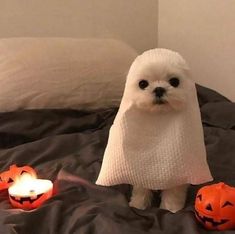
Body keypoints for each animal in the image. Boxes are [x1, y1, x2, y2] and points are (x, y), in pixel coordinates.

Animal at [97, 48, 213, 213]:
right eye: (143, 84)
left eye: (174, 82)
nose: (159, 89)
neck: (159, 117)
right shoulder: (141, 171)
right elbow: (141, 190)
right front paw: (138, 206)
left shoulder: (176, 173)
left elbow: (173, 193)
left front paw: (170, 210)